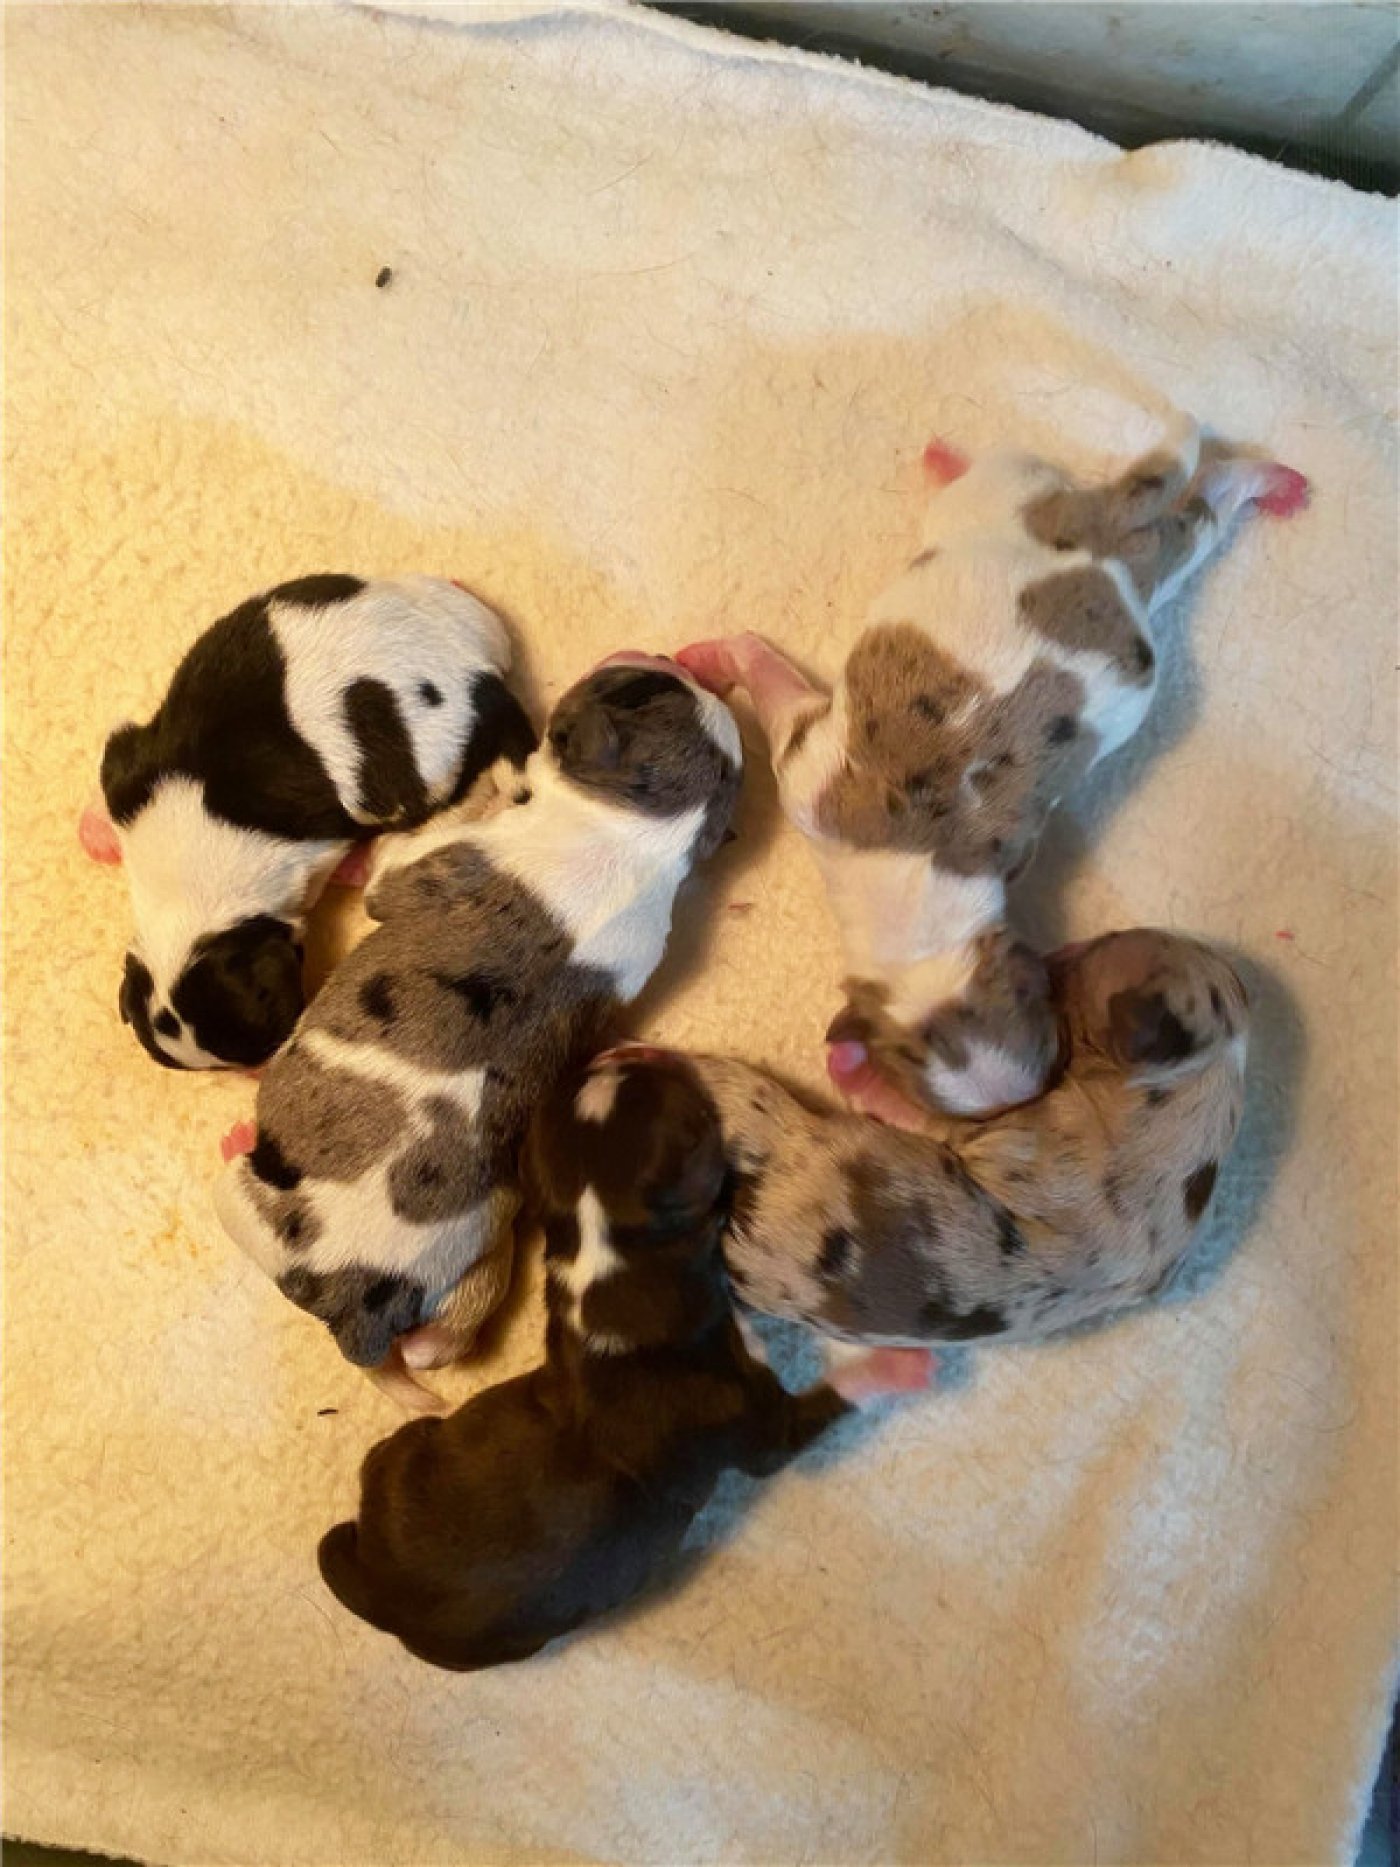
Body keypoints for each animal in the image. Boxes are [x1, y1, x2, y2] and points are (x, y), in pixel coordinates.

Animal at [214, 654, 743, 1407]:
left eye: (634, 689)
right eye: (655, 686)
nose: (668, 658)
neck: (640, 840)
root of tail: (362, 1311)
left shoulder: (430, 862)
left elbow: (399, 861)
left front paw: (488, 780)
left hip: (243, 1197)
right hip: (485, 1238)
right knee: (440, 1343)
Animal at [315, 1049, 850, 1671]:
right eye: (693, 1116)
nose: (630, 1050)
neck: (608, 1260)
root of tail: (383, 1599)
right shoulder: (761, 1424)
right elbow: (820, 1408)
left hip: (402, 1447)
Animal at [586, 930, 1250, 1399]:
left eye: (1100, 947)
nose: (1046, 954)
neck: (1191, 1091)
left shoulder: (1015, 1130)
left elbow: (930, 1116)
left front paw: (860, 1069)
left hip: (756, 1113)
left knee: (719, 1086)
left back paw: (643, 1055)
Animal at [679, 427, 1305, 1120]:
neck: (920, 889)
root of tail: (1099, 539)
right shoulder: (804, 764)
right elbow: (761, 666)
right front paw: (713, 657)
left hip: (1047, 521)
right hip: (1081, 529)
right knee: (1196, 514)